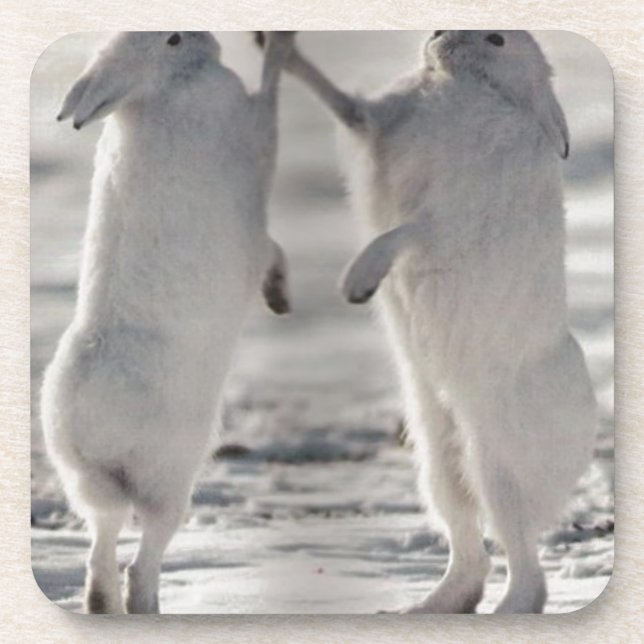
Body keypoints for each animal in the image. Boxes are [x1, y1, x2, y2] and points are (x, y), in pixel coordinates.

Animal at [41, 31, 294, 614]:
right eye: (174, 38)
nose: (214, 42)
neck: (155, 92)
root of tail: (91, 413)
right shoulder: (249, 133)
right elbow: (269, 100)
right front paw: (280, 46)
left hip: (89, 481)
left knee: (102, 544)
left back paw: (103, 603)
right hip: (170, 475)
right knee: (142, 561)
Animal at [273, 31, 598, 613]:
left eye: (497, 38)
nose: (438, 33)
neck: (473, 86)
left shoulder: (452, 217)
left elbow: (407, 232)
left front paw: (357, 282)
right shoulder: (374, 125)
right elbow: (343, 103)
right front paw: (278, 48)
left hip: (494, 465)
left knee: (523, 564)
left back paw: (506, 611)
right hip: (437, 462)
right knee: (469, 552)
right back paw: (422, 607)